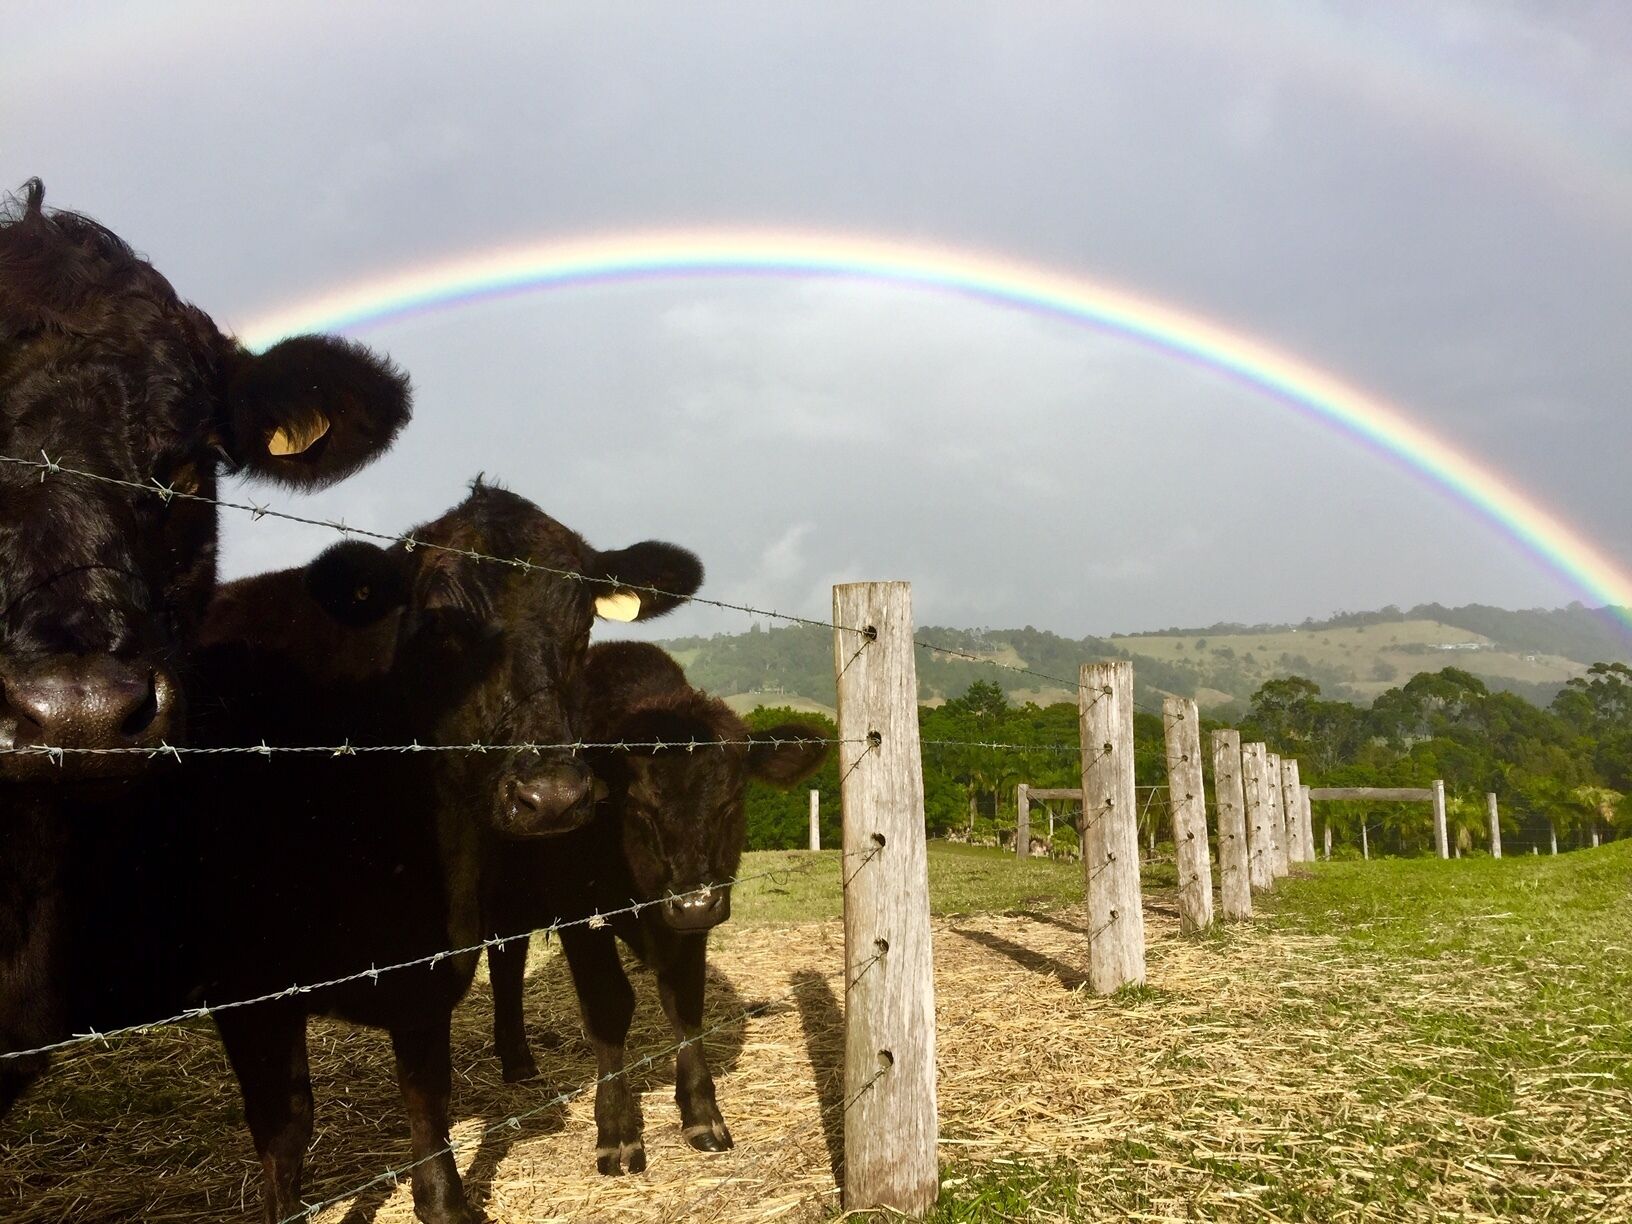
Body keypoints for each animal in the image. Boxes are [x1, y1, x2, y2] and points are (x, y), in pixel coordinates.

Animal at [476, 643, 822, 1181]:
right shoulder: (580, 915)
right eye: (638, 806)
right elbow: (609, 1004)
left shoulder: (688, 927)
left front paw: (702, 1113)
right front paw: (617, 1130)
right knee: (505, 964)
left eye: (732, 800)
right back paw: (516, 1059)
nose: (696, 901)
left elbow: (685, 1002)